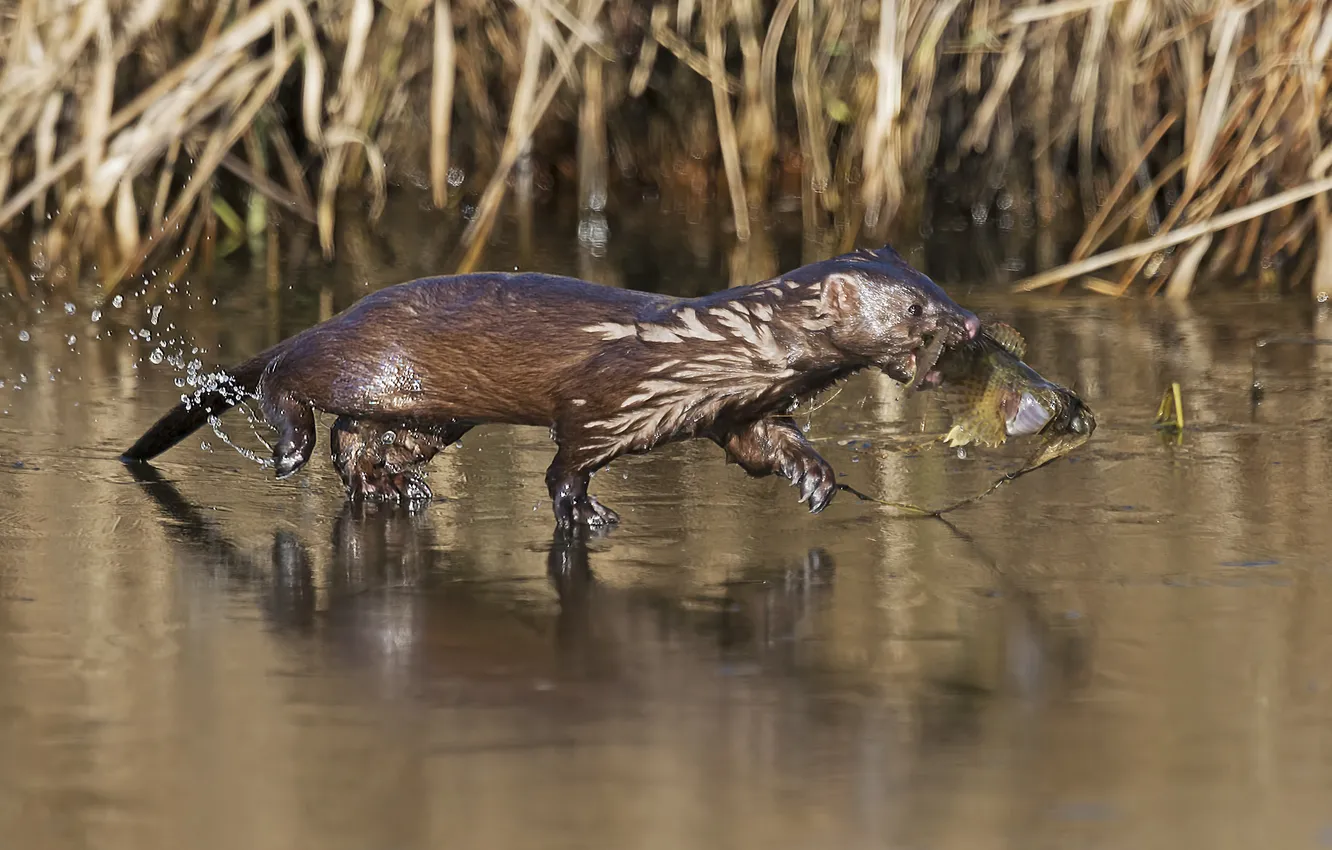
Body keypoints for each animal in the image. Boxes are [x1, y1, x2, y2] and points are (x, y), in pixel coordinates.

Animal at [121, 245, 980, 530]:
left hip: (431, 410)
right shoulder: (612, 401)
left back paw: (393, 486)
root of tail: (350, 310)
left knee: (360, 437)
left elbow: (763, 445)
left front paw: (816, 478)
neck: (719, 349)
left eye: (938, 282)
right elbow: (568, 461)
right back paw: (294, 446)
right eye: (915, 306)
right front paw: (588, 513)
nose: (971, 322)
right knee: (287, 377)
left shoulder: (735, 408)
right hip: (364, 359)